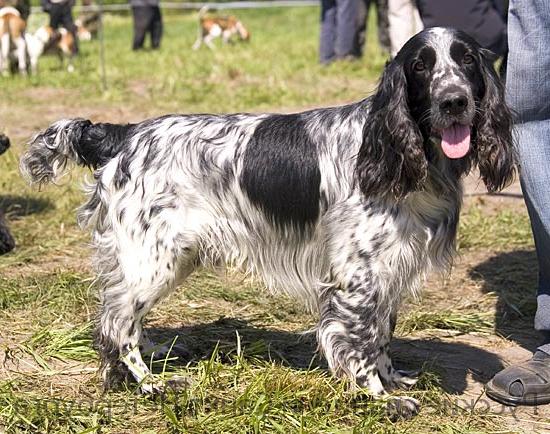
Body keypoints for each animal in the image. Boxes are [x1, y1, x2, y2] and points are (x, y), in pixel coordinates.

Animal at [20, 26, 516, 418]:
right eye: (420, 66)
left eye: (467, 59)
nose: (454, 102)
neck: (405, 156)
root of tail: (125, 134)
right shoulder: (356, 278)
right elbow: (360, 341)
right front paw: (378, 397)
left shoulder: (387, 269)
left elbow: (381, 336)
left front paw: (392, 381)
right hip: (153, 260)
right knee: (116, 324)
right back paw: (150, 383)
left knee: (119, 319)